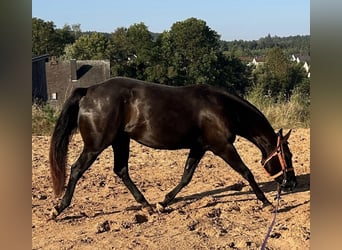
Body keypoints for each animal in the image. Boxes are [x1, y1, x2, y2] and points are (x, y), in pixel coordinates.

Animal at [48, 77, 296, 218]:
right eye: (289, 155)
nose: (291, 182)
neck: (222, 107)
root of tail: (88, 91)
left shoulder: (200, 147)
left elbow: (186, 177)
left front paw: (163, 203)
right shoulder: (222, 146)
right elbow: (246, 172)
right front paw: (265, 201)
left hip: (120, 141)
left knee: (121, 170)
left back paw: (146, 205)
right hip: (96, 145)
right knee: (77, 169)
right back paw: (59, 208)